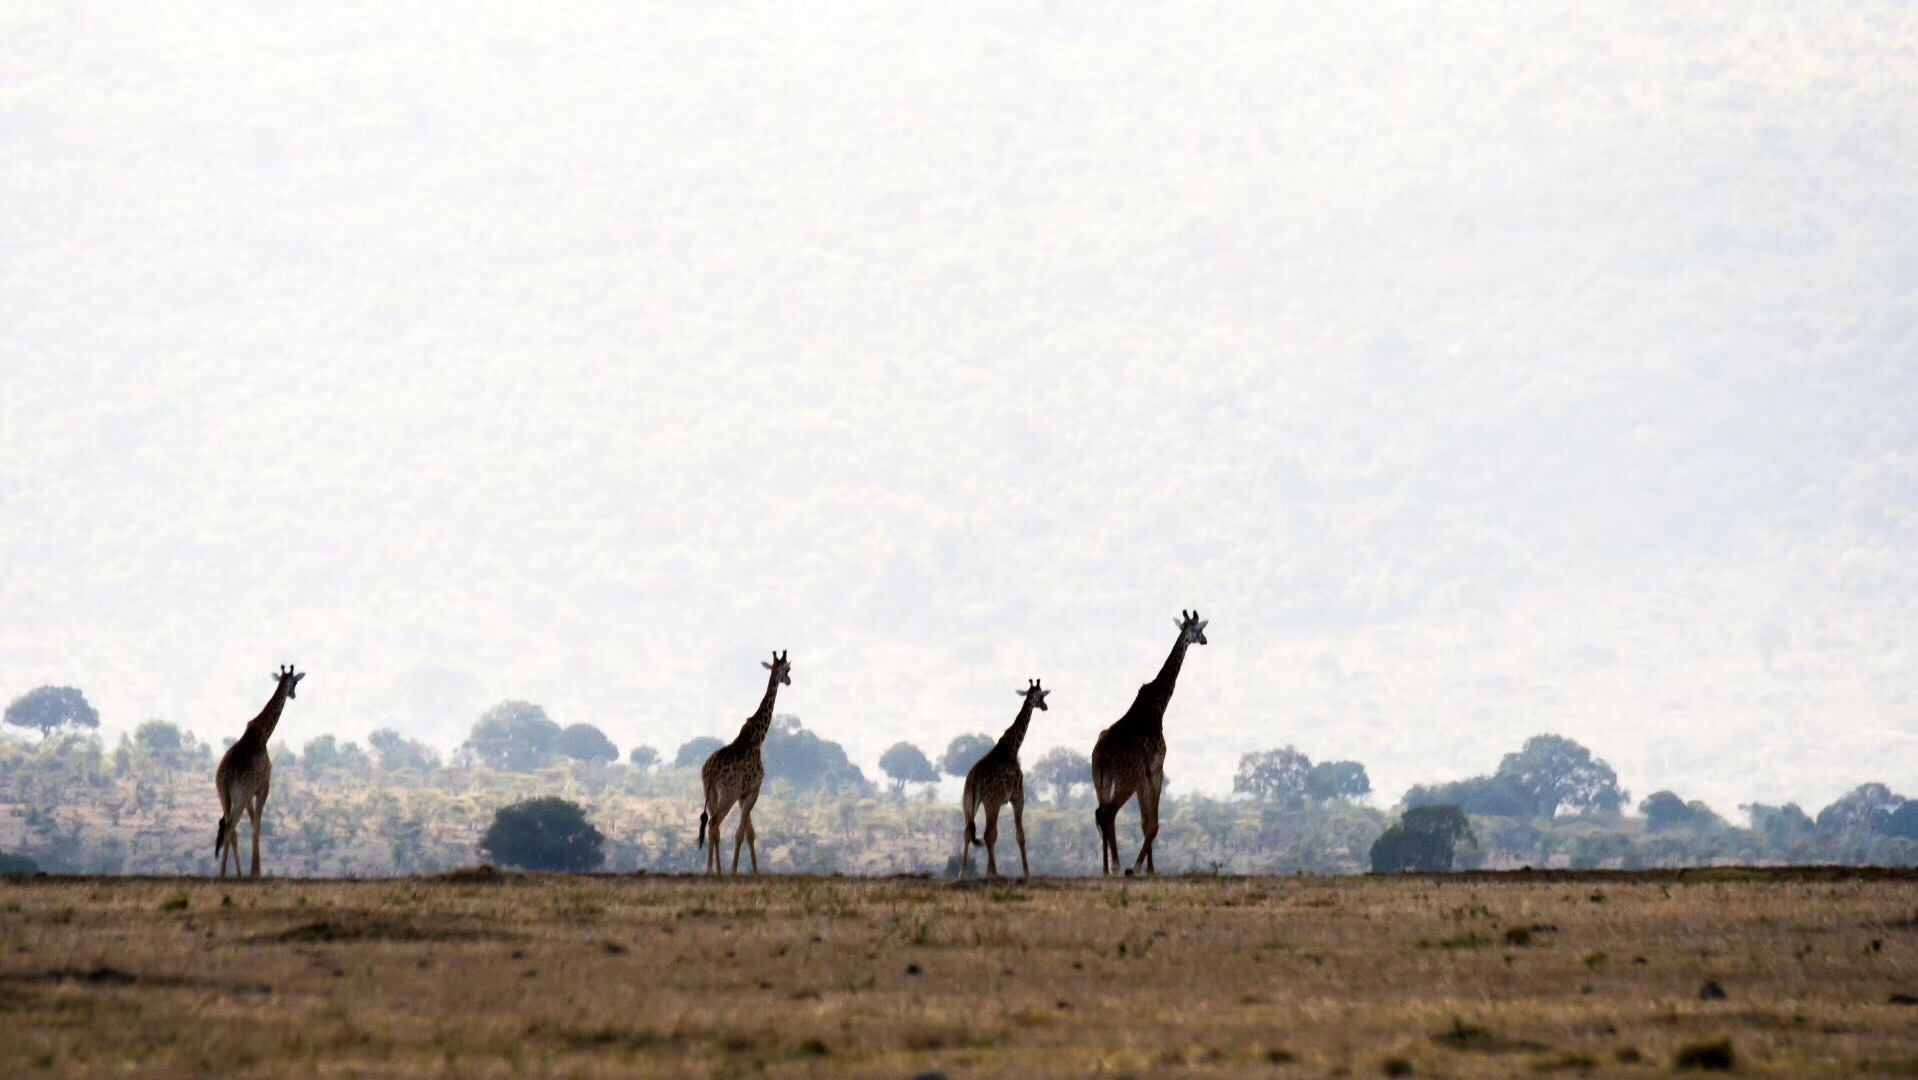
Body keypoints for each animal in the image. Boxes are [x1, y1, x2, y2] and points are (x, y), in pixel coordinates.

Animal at [213, 667, 303, 878]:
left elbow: (254, 824)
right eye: (295, 682)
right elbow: (257, 827)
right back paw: (223, 874)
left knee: (230, 828)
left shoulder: (249, 795)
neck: (262, 735)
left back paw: (234, 874)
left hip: (224, 794)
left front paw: (254, 870)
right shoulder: (263, 786)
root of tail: (226, 776)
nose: (293, 694)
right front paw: (256, 872)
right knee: (230, 826)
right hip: (239, 796)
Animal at [698, 652, 786, 878]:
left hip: (712, 793)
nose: (789, 680)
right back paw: (713, 870)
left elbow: (749, 833)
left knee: (713, 826)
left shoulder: (743, 794)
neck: (757, 737)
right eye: (788, 669)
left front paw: (754, 871)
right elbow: (741, 832)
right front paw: (736, 870)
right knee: (714, 822)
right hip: (727, 793)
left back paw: (714, 870)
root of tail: (709, 771)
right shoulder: (754, 788)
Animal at [959, 679, 1051, 882]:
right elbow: (1020, 835)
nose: (1045, 707)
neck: (1012, 747)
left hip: (969, 801)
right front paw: (1026, 873)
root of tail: (974, 778)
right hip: (990, 802)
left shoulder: (1001, 801)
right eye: (1041, 695)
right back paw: (994, 873)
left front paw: (987, 871)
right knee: (986, 834)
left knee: (968, 832)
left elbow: (997, 834)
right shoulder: (1018, 796)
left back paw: (963, 874)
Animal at [1089, 610, 1204, 878]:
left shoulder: (1146, 774)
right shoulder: (1155, 769)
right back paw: (1118, 866)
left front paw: (1148, 868)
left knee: (1102, 812)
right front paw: (1140, 867)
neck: (1159, 705)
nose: (1204, 640)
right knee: (1109, 812)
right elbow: (1153, 823)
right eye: (1198, 629)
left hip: (1100, 778)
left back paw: (1106, 869)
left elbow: (1146, 822)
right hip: (1127, 778)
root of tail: (1102, 753)